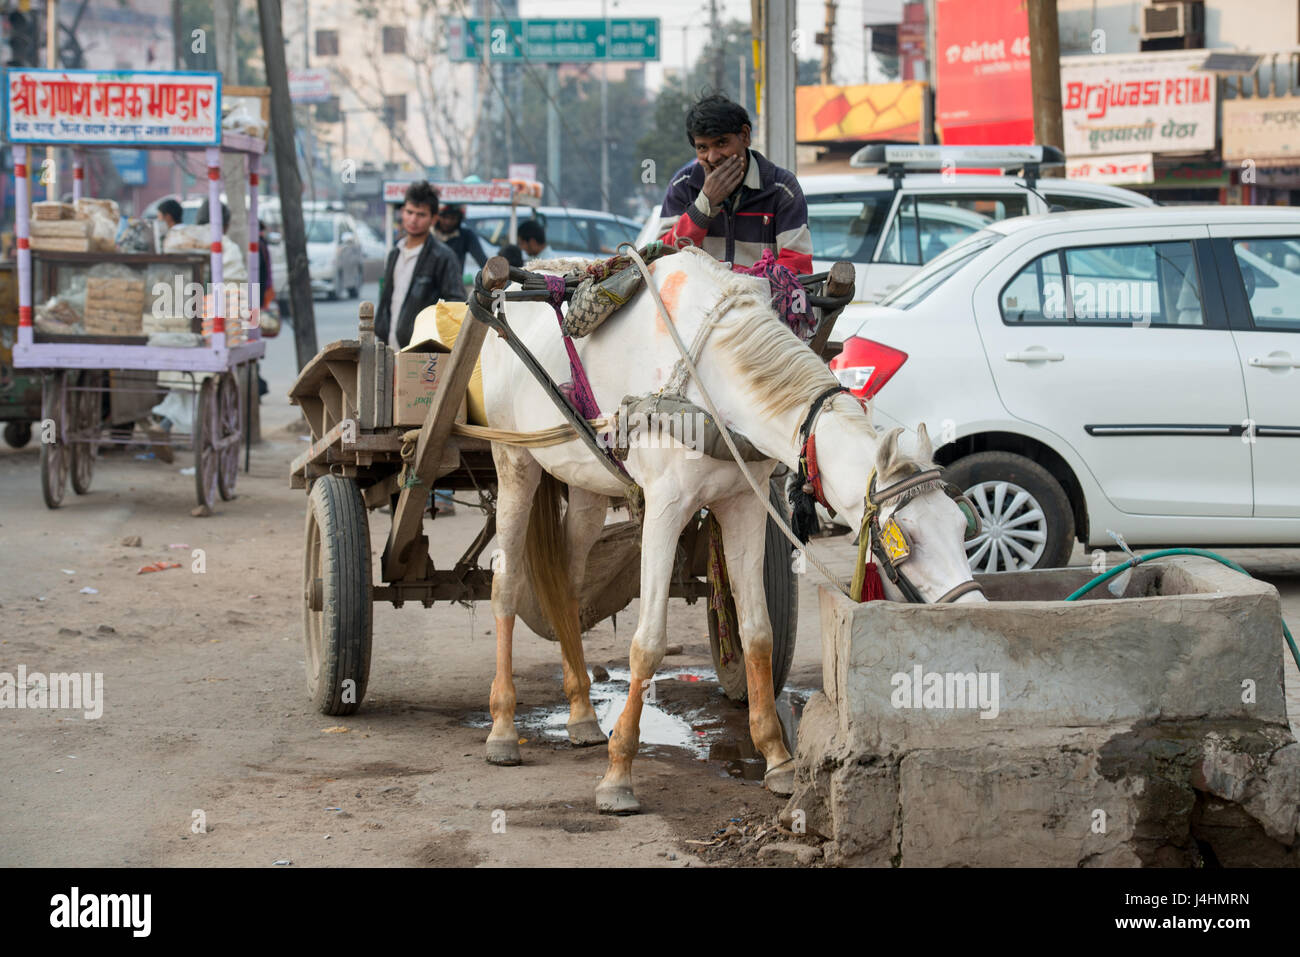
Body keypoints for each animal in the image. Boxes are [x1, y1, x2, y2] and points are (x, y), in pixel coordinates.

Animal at [480, 247, 982, 816]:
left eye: (961, 526)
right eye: (906, 538)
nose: (972, 614)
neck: (712, 383)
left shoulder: (745, 505)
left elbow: (758, 633)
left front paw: (778, 759)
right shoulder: (664, 508)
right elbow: (647, 643)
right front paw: (619, 774)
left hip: (586, 486)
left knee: (565, 586)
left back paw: (583, 713)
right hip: (514, 460)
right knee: (506, 584)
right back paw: (503, 728)